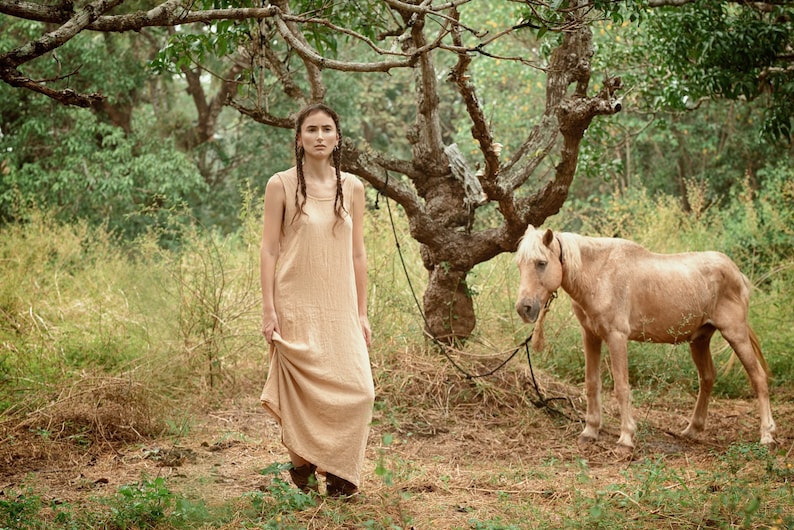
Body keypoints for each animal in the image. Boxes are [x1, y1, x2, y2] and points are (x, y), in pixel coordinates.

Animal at [512, 225, 772, 448]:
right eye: (519, 265)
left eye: (541, 263)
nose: (524, 308)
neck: (600, 275)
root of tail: (737, 272)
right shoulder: (591, 336)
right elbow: (592, 383)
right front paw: (590, 431)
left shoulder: (616, 337)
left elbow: (621, 387)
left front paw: (626, 438)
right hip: (699, 340)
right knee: (707, 378)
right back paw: (693, 430)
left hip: (735, 334)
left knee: (758, 377)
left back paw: (767, 435)